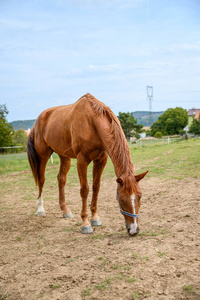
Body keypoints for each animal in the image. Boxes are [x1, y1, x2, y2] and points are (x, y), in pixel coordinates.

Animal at [27, 93, 147, 234]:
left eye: (140, 196)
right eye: (122, 199)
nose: (134, 230)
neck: (92, 122)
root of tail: (38, 120)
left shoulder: (101, 160)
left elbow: (96, 187)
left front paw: (95, 218)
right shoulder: (82, 160)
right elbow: (84, 190)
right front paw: (85, 223)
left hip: (64, 156)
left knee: (61, 179)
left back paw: (65, 210)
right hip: (43, 155)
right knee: (41, 180)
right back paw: (40, 209)